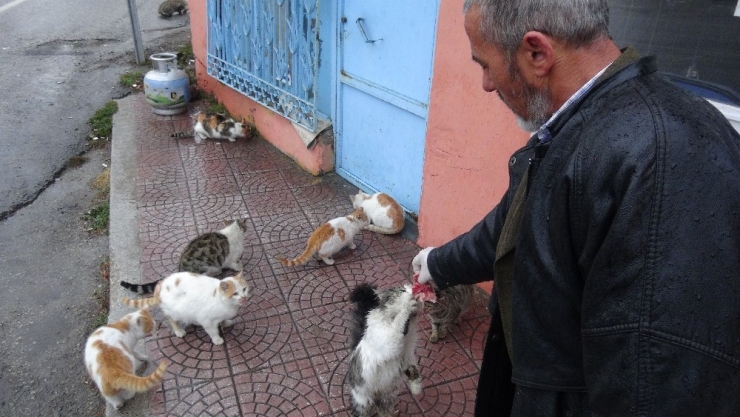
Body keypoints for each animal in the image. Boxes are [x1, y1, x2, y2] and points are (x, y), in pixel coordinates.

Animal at [121, 270, 249, 344]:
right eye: (235, 294)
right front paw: (217, 340)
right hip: (175, 311)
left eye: (244, 289)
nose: (243, 297)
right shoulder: (206, 320)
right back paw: (179, 331)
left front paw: (225, 323)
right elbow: (212, 331)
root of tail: (159, 285)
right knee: (171, 319)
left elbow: (222, 319)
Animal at [346, 282, 422, 414]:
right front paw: (407, 305)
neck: (407, 334)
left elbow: (413, 368)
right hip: (363, 402)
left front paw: (416, 386)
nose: (414, 292)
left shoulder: (408, 354)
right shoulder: (390, 341)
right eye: (402, 290)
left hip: (387, 399)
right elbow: (399, 322)